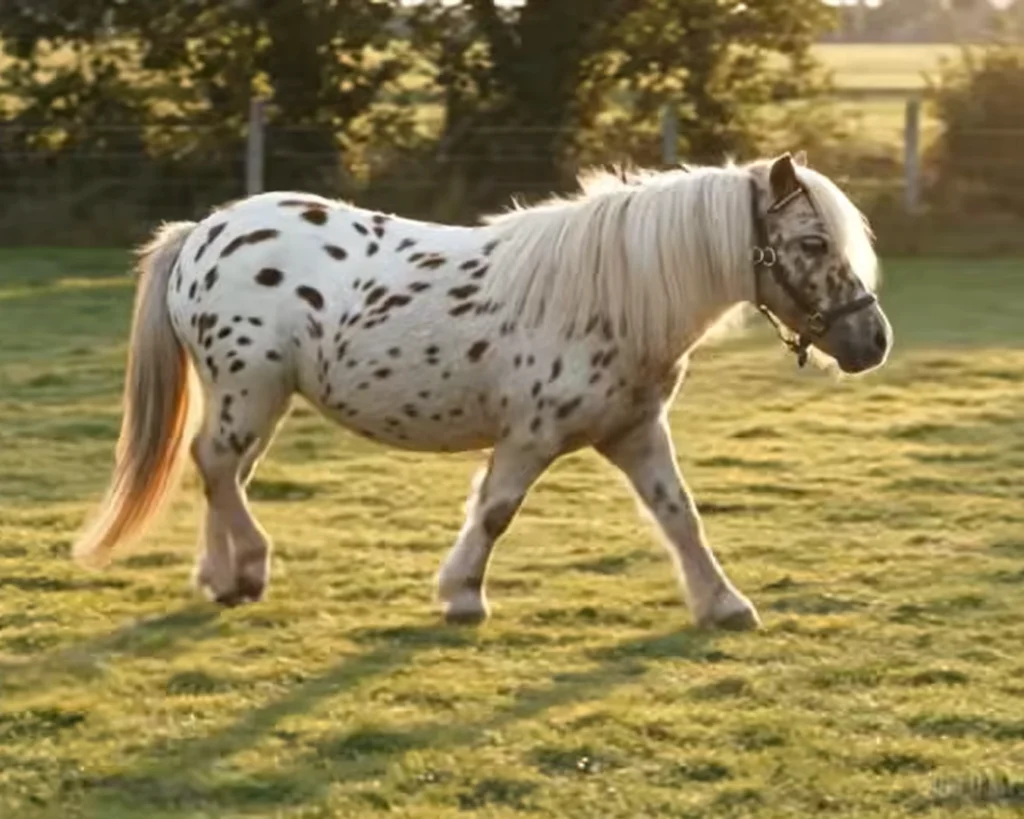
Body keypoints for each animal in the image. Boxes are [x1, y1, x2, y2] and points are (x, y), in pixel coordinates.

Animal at [70, 152, 891, 631]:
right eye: (812, 243)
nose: (873, 341)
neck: (613, 295)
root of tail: (201, 233)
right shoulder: (531, 435)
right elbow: (495, 510)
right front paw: (462, 593)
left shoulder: (635, 432)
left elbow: (679, 515)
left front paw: (724, 603)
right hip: (251, 389)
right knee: (216, 465)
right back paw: (247, 569)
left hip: (257, 398)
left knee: (221, 473)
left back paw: (220, 576)